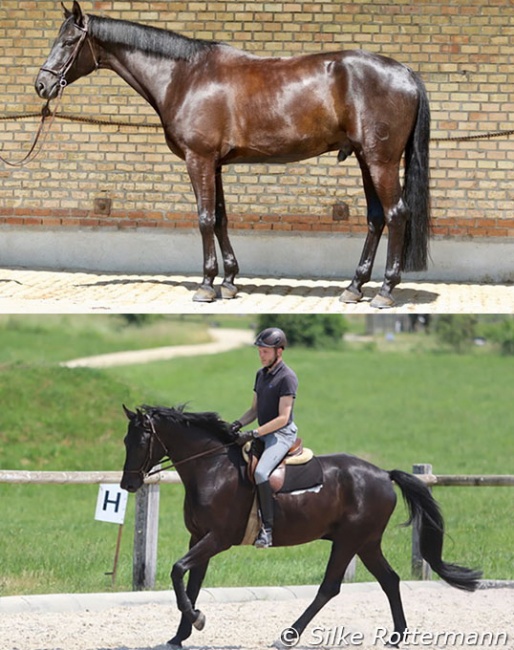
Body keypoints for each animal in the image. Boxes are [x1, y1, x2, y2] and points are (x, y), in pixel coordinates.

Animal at [34, 2, 430, 308]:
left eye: (68, 41)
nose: (42, 84)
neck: (185, 75)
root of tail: (406, 73)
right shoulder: (216, 164)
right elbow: (221, 218)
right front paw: (228, 282)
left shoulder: (199, 159)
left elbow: (205, 218)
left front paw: (207, 285)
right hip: (365, 159)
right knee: (376, 218)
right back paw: (354, 287)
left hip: (380, 161)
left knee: (396, 214)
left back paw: (385, 291)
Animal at [120, 402, 480, 644]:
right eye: (126, 442)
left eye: (140, 442)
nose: (128, 484)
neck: (212, 469)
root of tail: (383, 474)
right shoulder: (198, 538)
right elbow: (191, 582)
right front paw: (181, 633)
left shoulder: (217, 538)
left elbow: (178, 570)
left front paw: (195, 620)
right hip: (366, 543)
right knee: (390, 580)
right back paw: (397, 636)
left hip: (349, 541)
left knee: (330, 588)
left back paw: (289, 635)